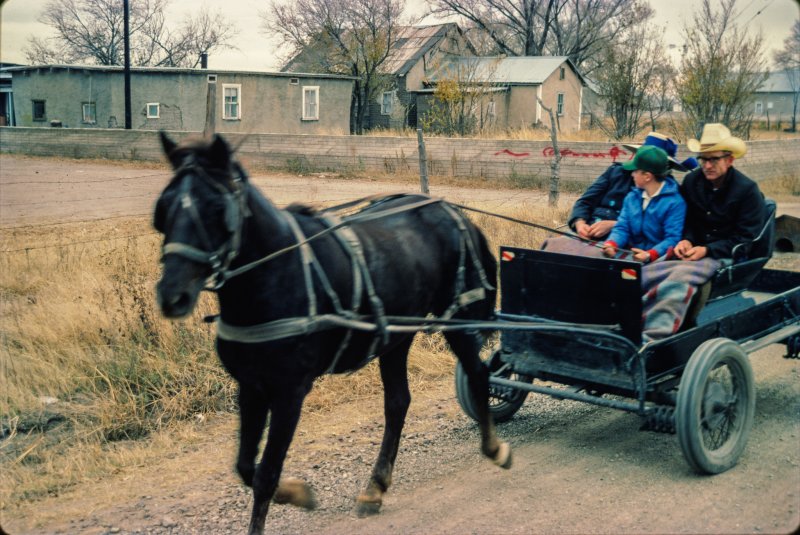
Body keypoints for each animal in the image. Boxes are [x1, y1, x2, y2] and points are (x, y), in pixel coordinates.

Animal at [152, 132, 512, 532]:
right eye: (164, 207)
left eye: (217, 208)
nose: (172, 295)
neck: (278, 270)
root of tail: (450, 210)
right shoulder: (250, 386)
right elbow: (246, 467)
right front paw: (297, 492)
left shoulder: (289, 392)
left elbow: (265, 475)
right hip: (396, 334)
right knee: (397, 402)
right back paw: (375, 487)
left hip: (457, 320)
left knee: (477, 374)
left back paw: (493, 448)